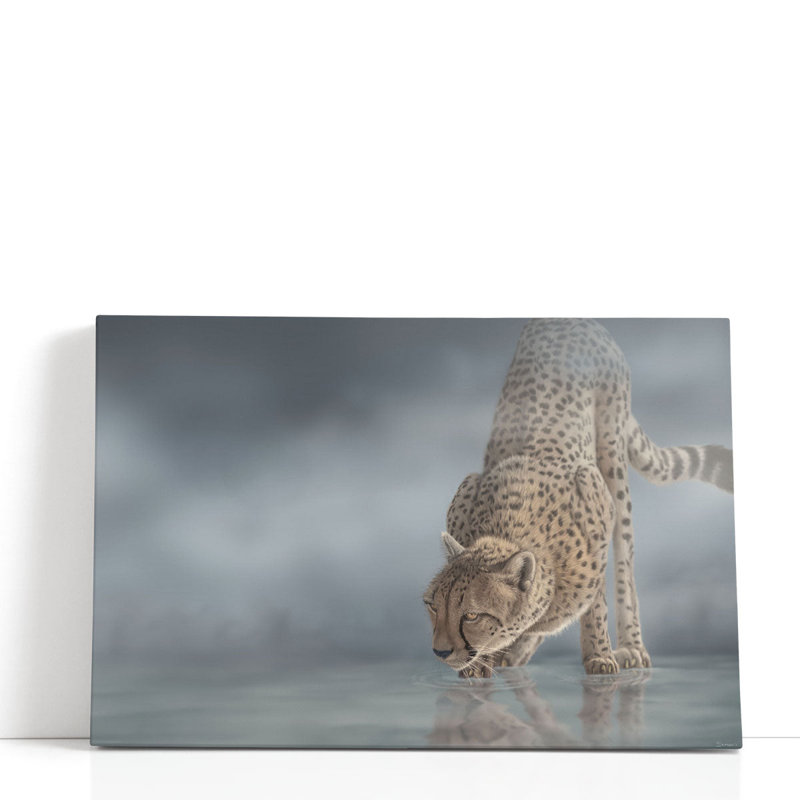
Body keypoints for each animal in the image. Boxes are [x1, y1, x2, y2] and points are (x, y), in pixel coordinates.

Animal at [423, 318, 733, 677]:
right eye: (433, 606)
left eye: (471, 615)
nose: (439, 651)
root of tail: (567, 321)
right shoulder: (469, 486)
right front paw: (485, 663)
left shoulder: (594, 499)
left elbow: (596, 602)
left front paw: (599, 655)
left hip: (612, 458)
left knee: (625, 562)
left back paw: (631, 647)